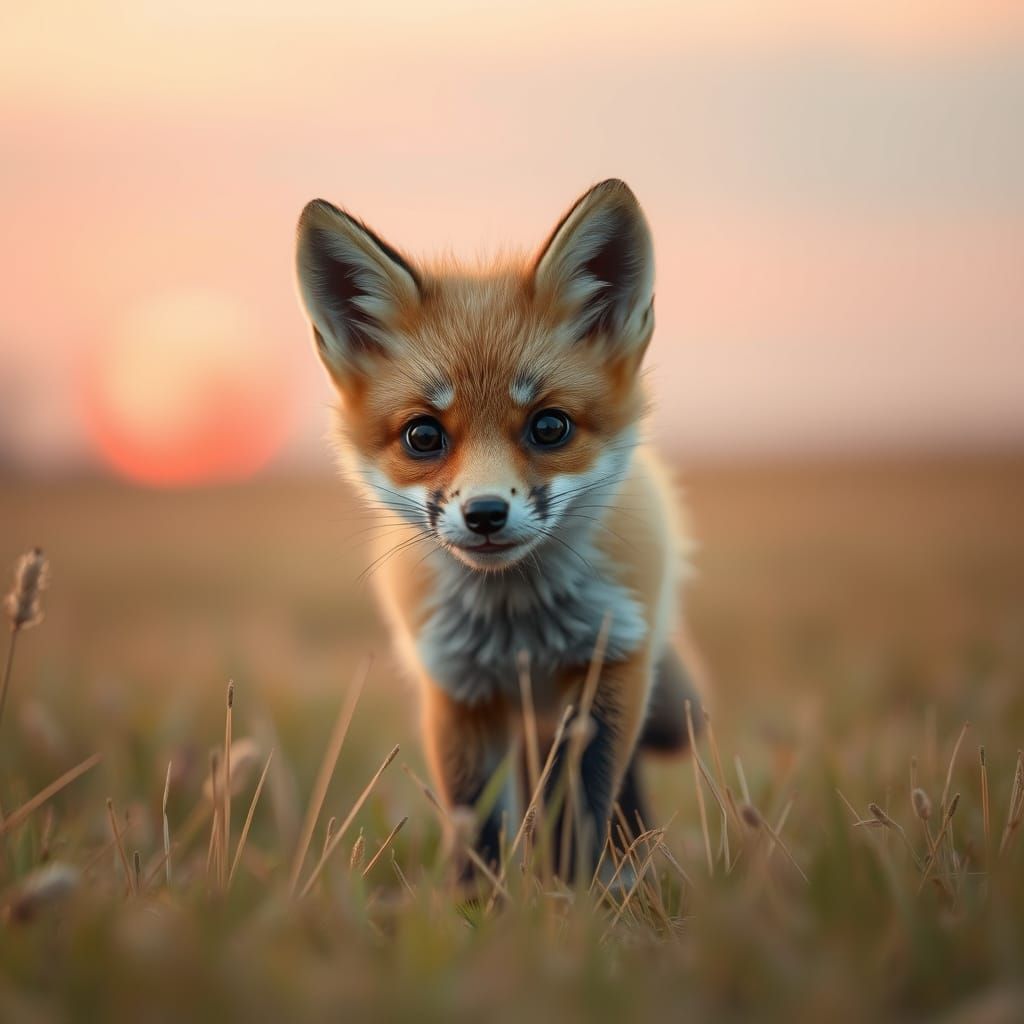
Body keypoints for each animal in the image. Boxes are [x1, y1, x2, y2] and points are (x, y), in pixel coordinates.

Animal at [295, 179, 701, 879]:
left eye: (549, 426)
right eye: (423, 435)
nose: (485, 513)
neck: (519, 628)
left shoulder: (610, 667)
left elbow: (584, 809)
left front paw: (581, 895)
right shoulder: (459, 692)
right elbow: (476, 828)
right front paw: (481, 902)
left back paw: (629, 866)